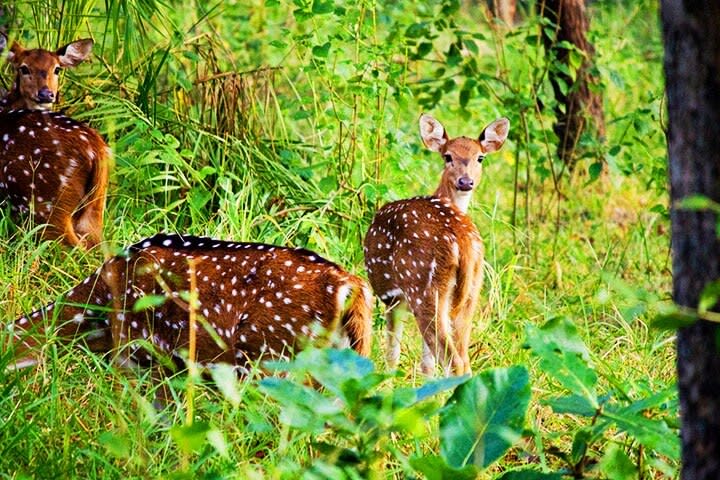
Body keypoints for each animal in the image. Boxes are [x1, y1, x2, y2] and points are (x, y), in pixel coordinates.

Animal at [0, 37, 109, 248]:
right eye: (24, 68)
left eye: (57, 69)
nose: (45, 94)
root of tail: (97, 148)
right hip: (95, 206)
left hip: (44, 202)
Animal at [362, 114, 510, 376]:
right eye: (447, 156)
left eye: (480, 157)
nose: (466, 181)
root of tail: (462, 241)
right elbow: (426, 364)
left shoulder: (392, 297)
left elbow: (392, 354)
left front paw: (386, 379)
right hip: (471, 292)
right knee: (464, 359)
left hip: (423, 288)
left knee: (454, 361)